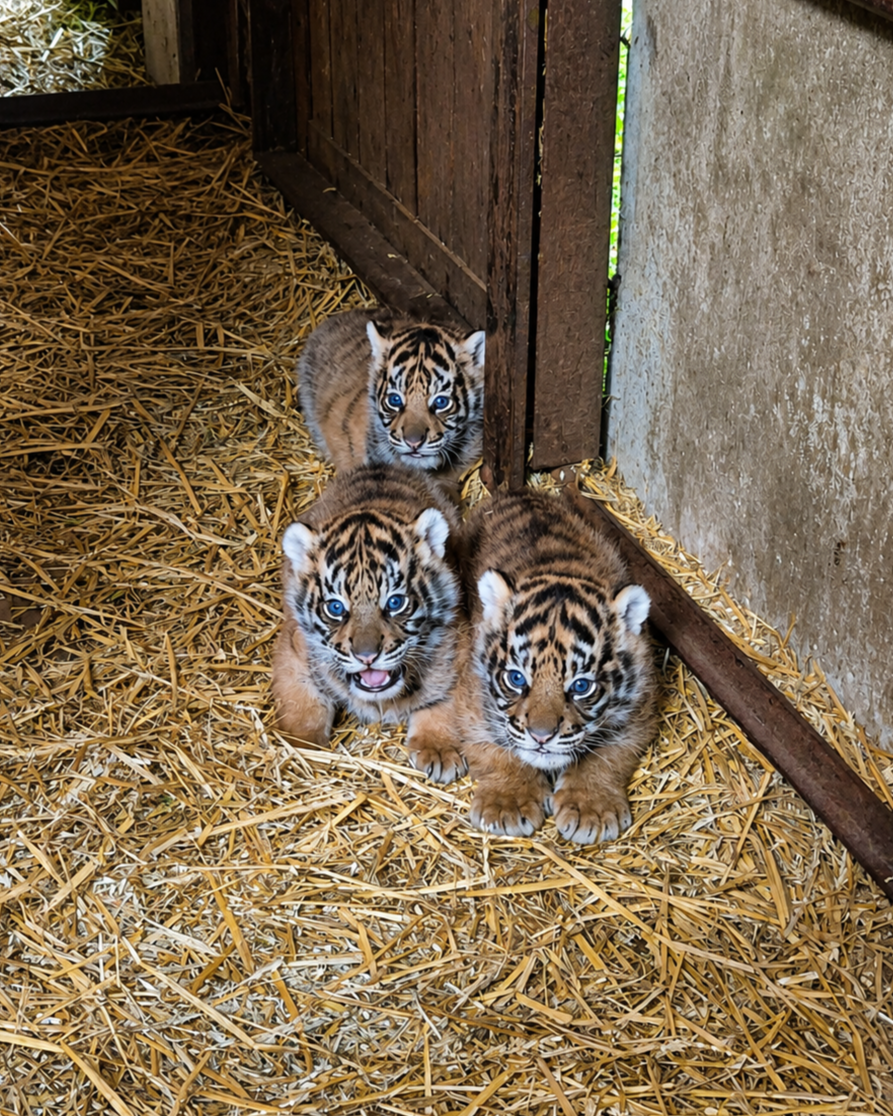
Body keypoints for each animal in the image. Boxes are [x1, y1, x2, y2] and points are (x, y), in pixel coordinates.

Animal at [271, 462, 466, 781]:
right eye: (335, 608)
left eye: (395, 603)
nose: (367, 657)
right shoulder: (294, 649)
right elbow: (301, 701)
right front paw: (302, 749)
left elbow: (444, 702)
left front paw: (439, 751)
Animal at [445, 488, 657, 843]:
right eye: (517, 679)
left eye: (581, 686)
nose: (541, 736)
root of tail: (515, 491)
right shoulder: (470, 699)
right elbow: (493, 749)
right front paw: (508, 804)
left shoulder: (639, 710)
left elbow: (606, 756)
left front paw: (591, 809)